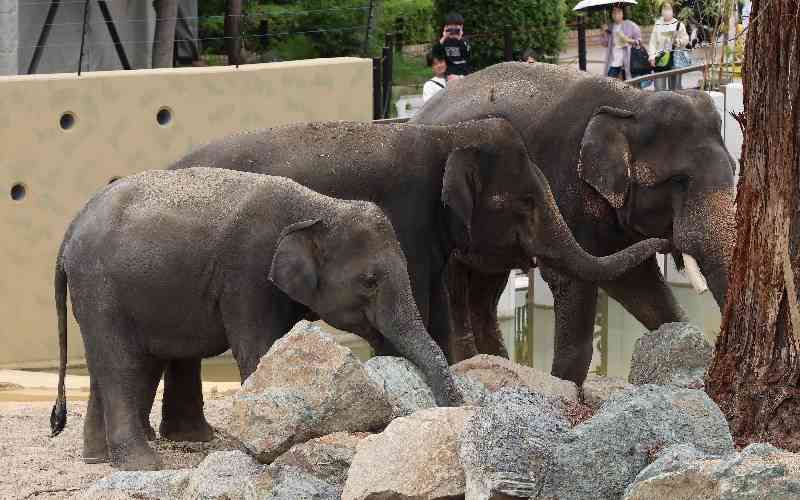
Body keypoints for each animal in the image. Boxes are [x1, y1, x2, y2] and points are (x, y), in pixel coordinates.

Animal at [50, 168, 463, 470]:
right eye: (370, 281)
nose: (457, 407)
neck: (319, 205)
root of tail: (68, 232)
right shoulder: (247, 272)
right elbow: (258, 349)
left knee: (113, 365)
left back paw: (99, 458)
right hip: (101, 289)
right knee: (122, 365)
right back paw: (143, 465)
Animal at [152, 118, 669, 441]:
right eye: (524, 203)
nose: (662, 240)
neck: (445, 136)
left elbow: (435, 310)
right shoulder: (406, 217)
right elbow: (410, 309)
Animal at [412, 62, 736, 386]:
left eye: (734, 170)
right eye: (680, 181)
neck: (630, 103)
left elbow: (639, 285)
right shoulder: (562, 187)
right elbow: (573, 281)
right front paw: (564, 384)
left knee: (485, 292)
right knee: (457, 294)